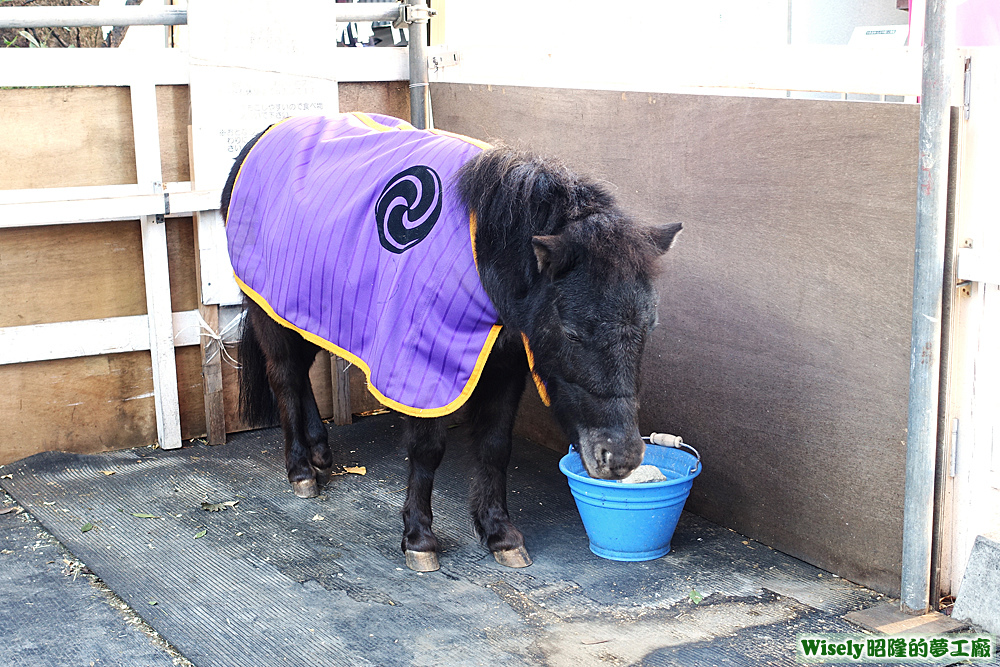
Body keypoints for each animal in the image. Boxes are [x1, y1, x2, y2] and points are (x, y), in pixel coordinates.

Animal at [224, 126, 684, 576]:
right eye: (571, 333)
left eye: (649, 327)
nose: (621, 458)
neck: (484, 252)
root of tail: (259, 138)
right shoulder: (420, 365)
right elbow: (427, 450)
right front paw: (419, 538)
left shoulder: (506, 363)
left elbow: (495, 445)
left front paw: (500, 533)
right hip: (269, 314)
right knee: (285, 377)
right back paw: (301, 469)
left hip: (301, 309)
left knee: (302, 372)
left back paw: (320, 452)